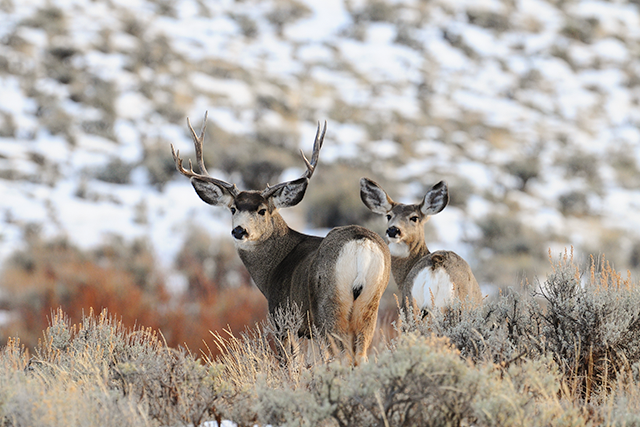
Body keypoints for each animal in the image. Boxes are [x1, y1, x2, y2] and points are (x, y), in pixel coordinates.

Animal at [171, 113, 391, 364]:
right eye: (234, 208)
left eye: (262, 210)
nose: (239, 231)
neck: (275, 267)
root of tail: (360, 242)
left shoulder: (283, 318)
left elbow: (289, 362)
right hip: (370, 304)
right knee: (361, 355)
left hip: (329, 307)